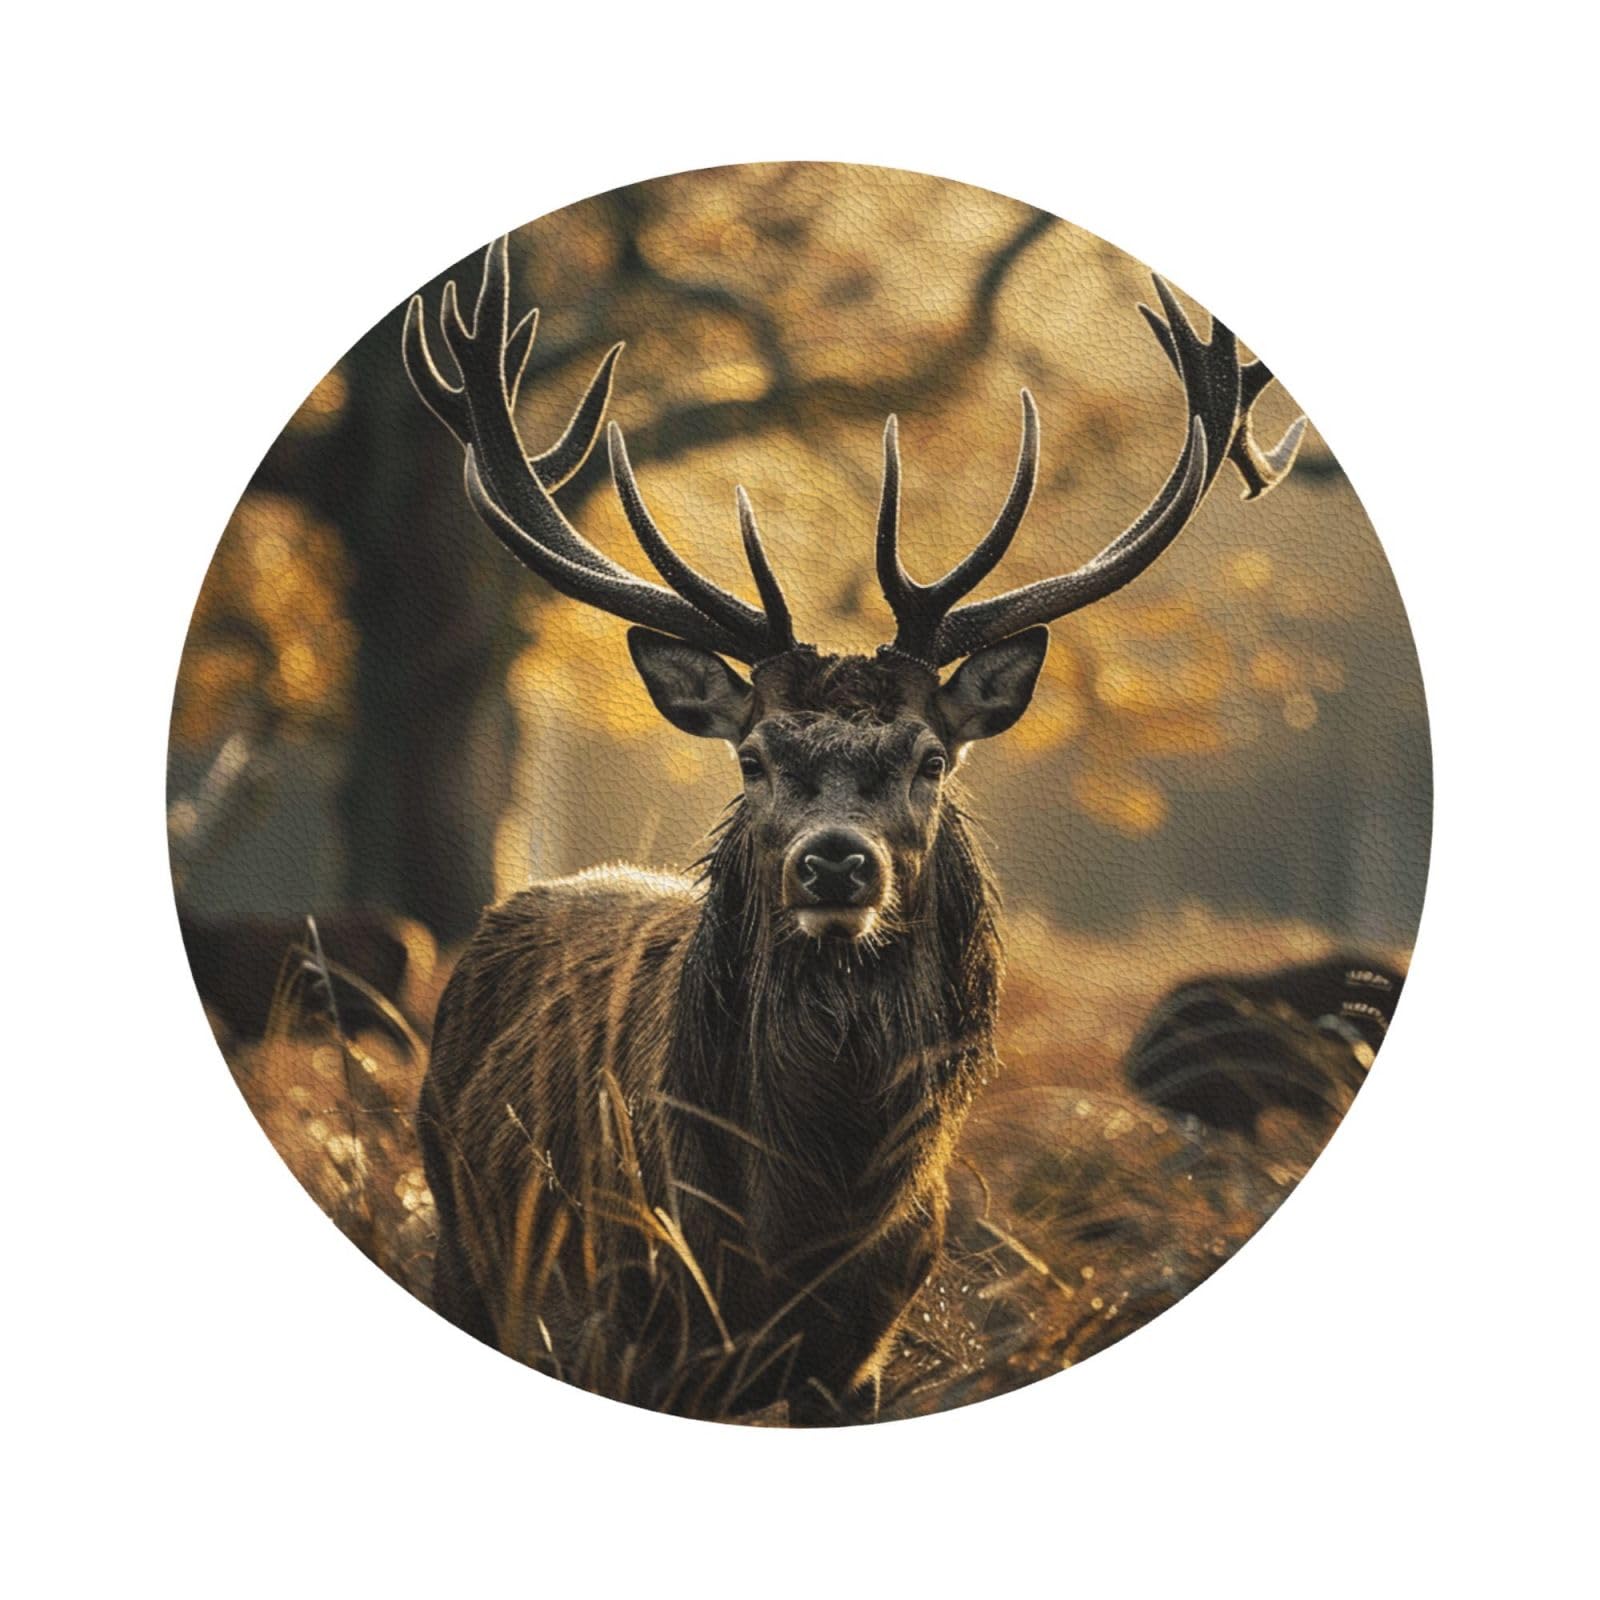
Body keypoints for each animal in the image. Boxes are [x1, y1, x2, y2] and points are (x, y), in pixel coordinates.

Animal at [401, 235, 1305, 1423]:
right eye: (753, 756)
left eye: (929, 758)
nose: (836, 862)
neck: (798, 1227)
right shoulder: (618, 1319)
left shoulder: (862, 1353)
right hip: (467, 1246)